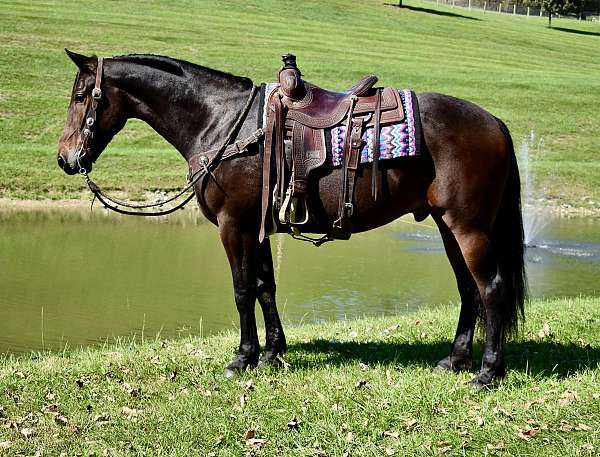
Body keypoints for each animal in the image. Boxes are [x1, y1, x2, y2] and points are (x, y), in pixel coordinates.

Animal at [56, 50, 524, 386]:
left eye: (81, 97)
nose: (65, 158)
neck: (222, 122)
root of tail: (495, 122)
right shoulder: (258, 227)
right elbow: (266, 287)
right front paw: (272, 352)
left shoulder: (234, 225)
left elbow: (243, 290)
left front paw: (242, 358)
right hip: (448, 227)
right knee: (469, 290)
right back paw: (455, 360)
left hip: (469, 228)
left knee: (492, 289)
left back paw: (488, 372)